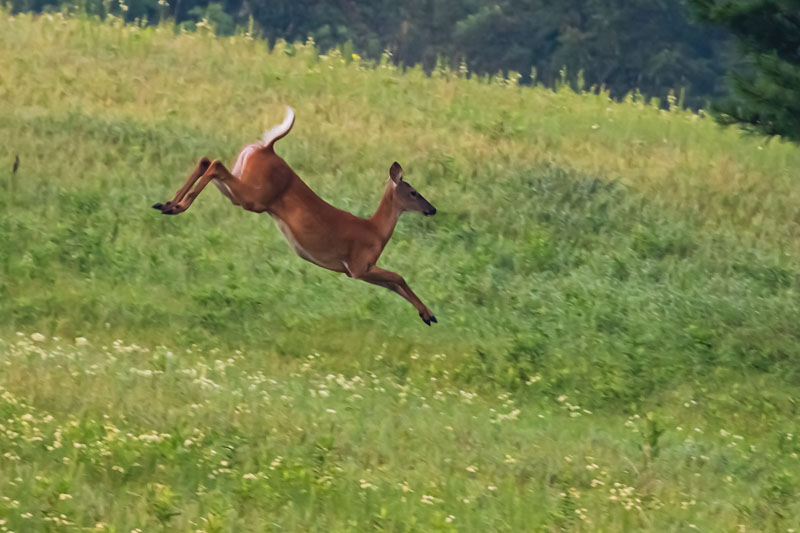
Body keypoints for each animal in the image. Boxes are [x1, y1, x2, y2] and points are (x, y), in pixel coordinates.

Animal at [152, 107, 438, 325]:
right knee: (214, 164)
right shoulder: (358, 266)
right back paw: (175, 206)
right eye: (414, 192)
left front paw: (427, 315)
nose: (432, 209)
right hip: (254, 198)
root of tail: (267, 147)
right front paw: (429, 314)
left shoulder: (361, 270)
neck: (375, 231)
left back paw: (167, 204)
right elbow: (399, 277)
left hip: (241, 188)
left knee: (206, 160)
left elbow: (395, 285)